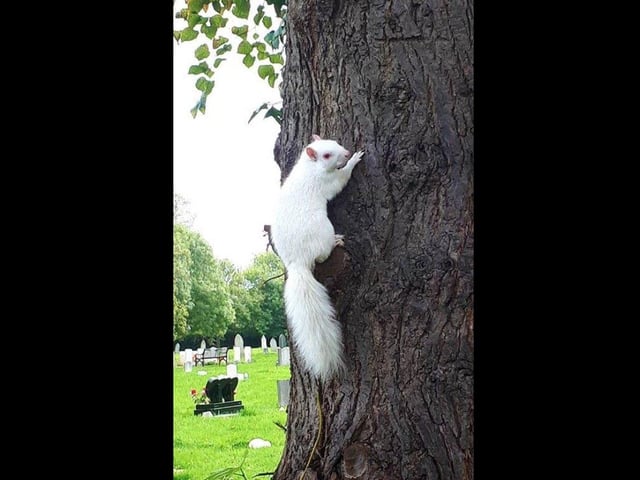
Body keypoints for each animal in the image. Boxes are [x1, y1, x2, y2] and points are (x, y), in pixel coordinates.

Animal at [272, 134, 364, 380]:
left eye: (335, 142)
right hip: (323, 230)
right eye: (327, 155)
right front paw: (355, 160)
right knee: (322, 256)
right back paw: (336, 241)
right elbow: (341, 180)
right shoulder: (326, 182)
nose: (346, 152)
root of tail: (297, 263)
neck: (309, 167)